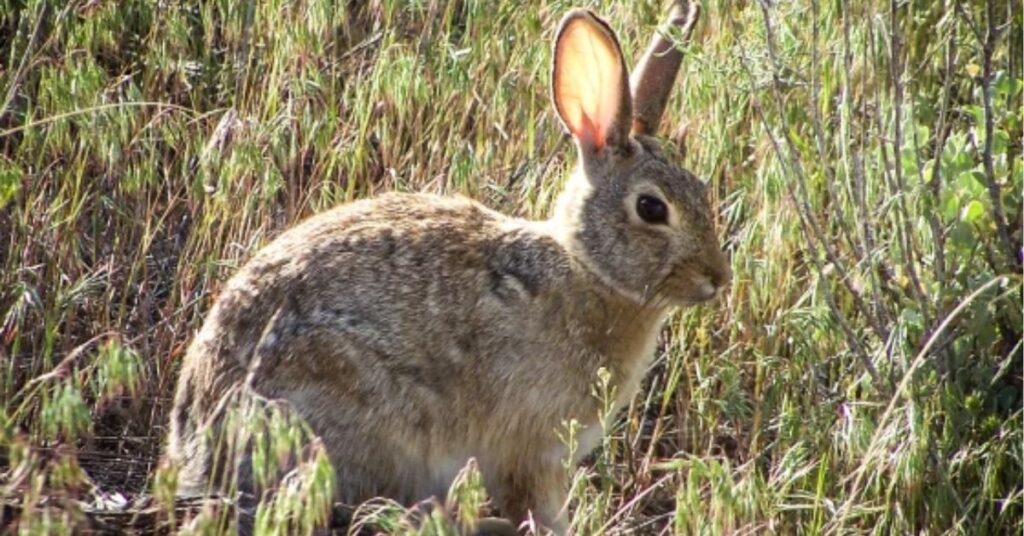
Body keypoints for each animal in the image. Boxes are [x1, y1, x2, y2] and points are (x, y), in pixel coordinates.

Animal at [165, 1, 729, 532]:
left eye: (702, 189)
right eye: (651, 208)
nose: (718, 278)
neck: (586, 268)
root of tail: (198, 445)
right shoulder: (528, 452)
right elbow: (537, 509)